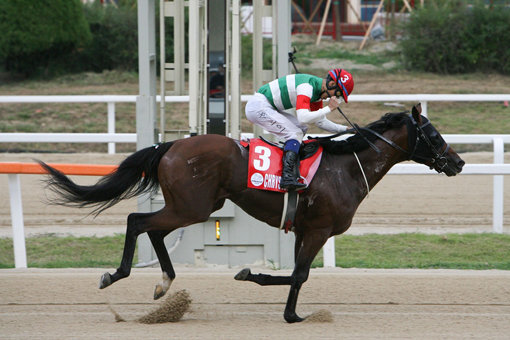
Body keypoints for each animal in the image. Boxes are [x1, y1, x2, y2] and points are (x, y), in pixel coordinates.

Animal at [38, 104, 462, 324]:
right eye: (434, 135)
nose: (457, 162)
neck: (347, 167)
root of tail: (170, 145)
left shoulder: (304, 230)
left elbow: (295, 274)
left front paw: (273, 297)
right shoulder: (319, 230)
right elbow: (299, 274)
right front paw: (287, 311)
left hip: (194, 206)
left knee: (153, 230)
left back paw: (164, 285)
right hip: (193, 206)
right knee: (137, 222)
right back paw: (117, 275)